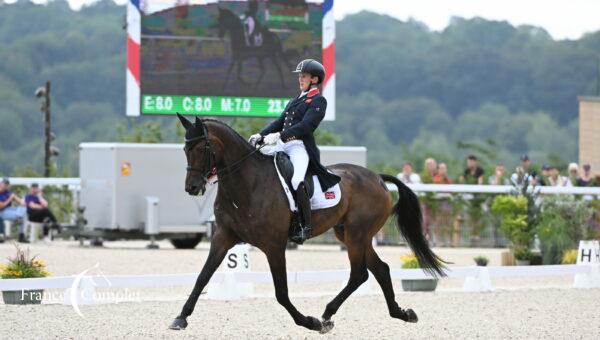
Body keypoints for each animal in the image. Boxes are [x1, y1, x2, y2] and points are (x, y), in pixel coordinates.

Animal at [169, 115, 446, 334]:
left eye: (202, 147)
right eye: (185, 149)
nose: (192, 187)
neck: (248, 184)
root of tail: (377, 177)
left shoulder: (273, 245)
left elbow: (281, 293)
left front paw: (309, 322)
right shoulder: (223, 238)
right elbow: (202, 278)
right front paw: (180, 318)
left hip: (357, 235)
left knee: (360, 274)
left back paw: (326, 316)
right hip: (349, 234)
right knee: (381, 269)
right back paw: (402, 313)